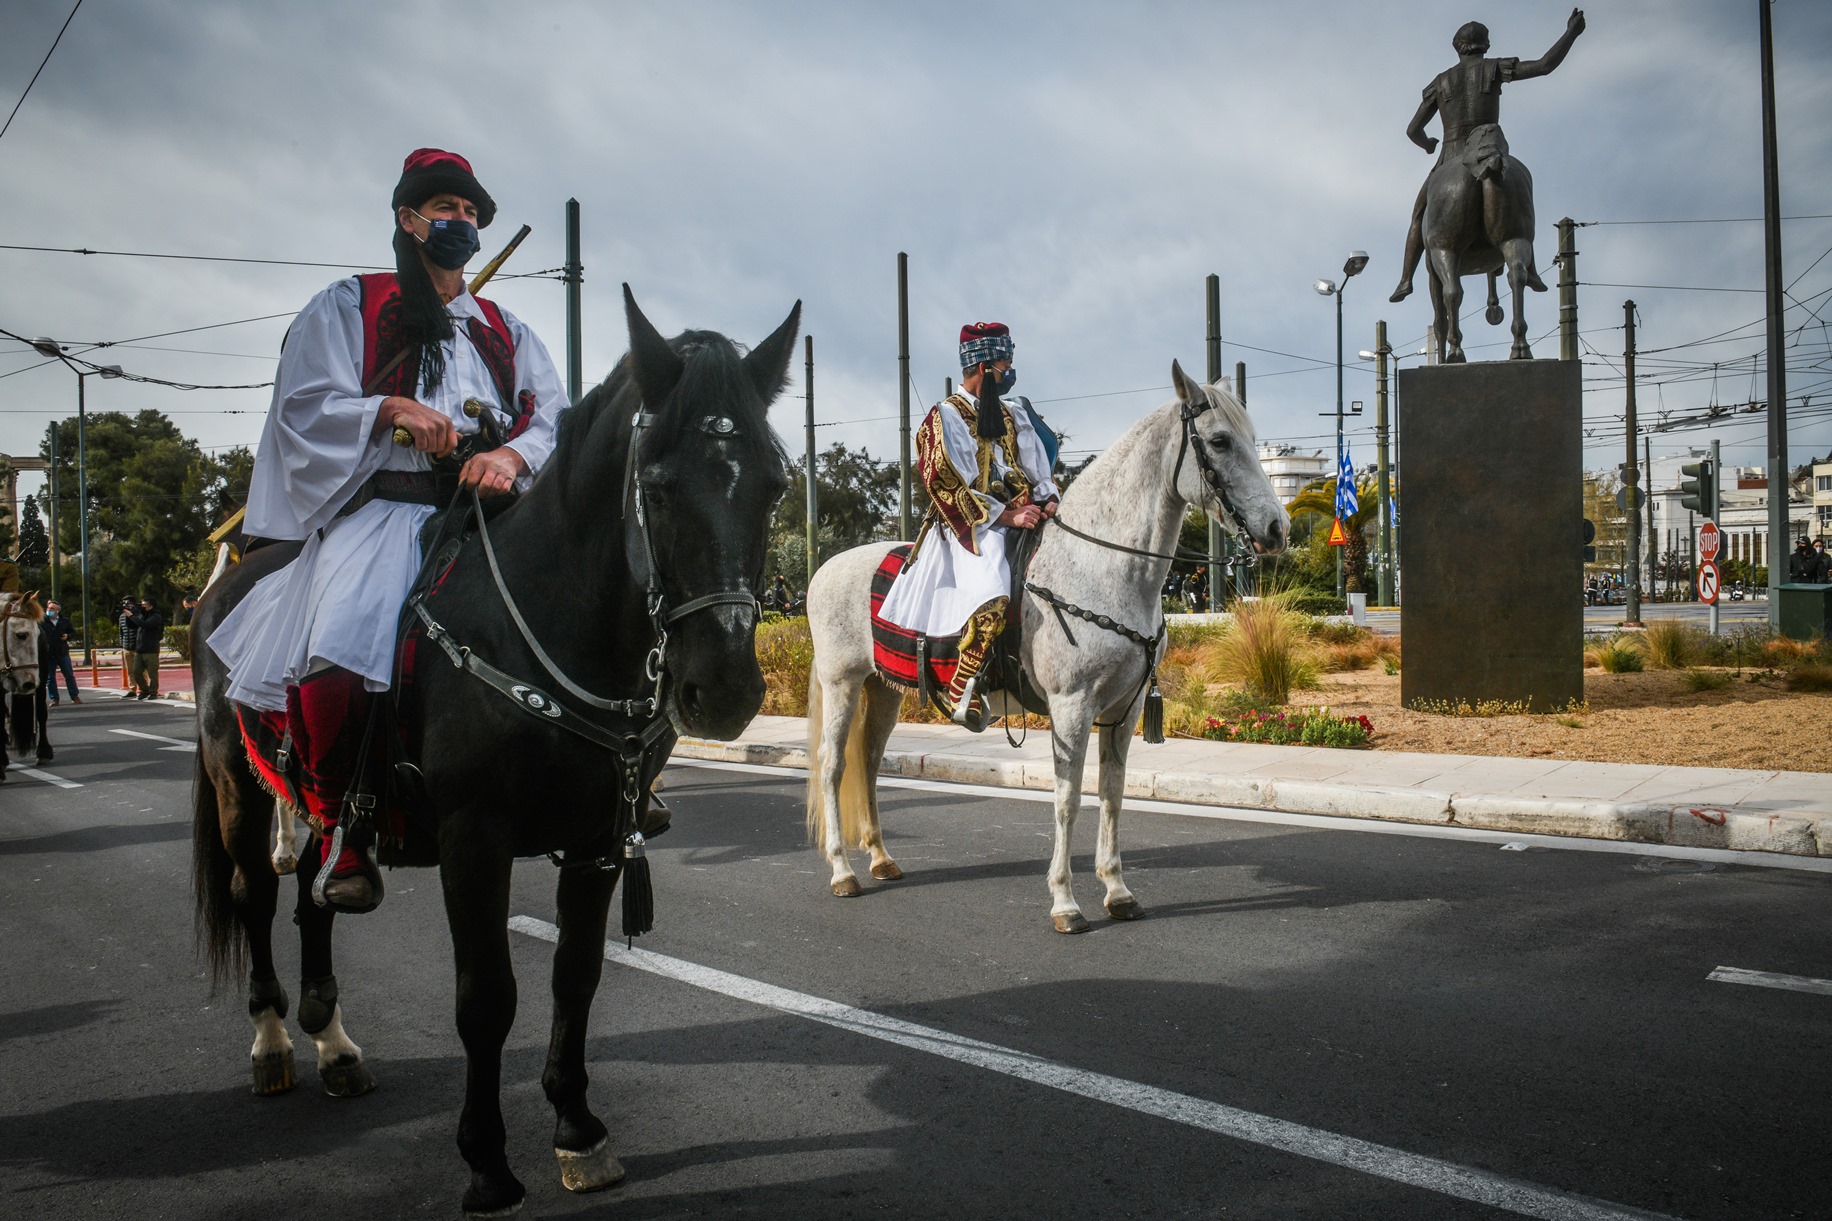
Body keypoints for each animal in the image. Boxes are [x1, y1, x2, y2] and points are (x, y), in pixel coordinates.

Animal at [189, 286, 798, 1210]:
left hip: (323, 803)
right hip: (237, 785)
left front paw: (578, 1129)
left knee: (315, 893)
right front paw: (486, 1159)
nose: (725, 689)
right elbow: (487, 997)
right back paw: (273, 1041)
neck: (554, 621)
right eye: (657, 488)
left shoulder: (596, 841)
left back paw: (334, 1041)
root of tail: (225, 579)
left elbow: (574, 975)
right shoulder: (472, 838)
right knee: (255, 893)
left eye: (772, 486)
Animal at [802, 361, 1289, 931]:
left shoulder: (1123, 710)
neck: (1102, 568)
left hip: (883, 691)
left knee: (868, 762)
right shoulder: (1072, 706)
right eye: (1219, 441)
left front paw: (1117, 890)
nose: (1277, 528)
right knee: (833, 765)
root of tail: (825, 568)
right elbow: (1067, 799)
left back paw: (880, 858)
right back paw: (843, 871)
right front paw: (1065, 901)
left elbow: (1112, 795)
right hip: (842, 683)